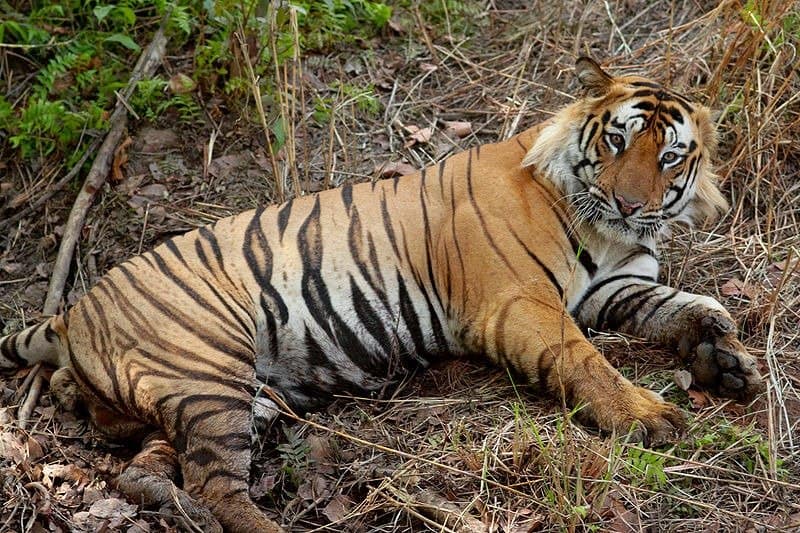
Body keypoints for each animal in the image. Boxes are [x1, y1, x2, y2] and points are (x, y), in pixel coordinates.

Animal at [0, 57, 763, 533]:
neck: (604, 232)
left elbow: (681, 308)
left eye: (669, 155)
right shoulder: (521, 304)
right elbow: (587, 361)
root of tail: (71, 310)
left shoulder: (617, 284)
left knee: (147, 463)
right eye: (617, 141)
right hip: (208, 367)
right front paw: (649, 415)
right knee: (217, 486)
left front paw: (726, 361)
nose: (632, 204)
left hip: (217, 396)